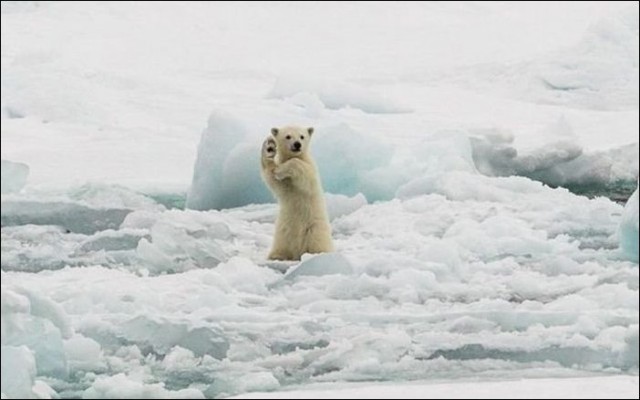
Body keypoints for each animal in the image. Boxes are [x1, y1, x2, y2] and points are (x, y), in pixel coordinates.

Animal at [260, 126, 336, 260]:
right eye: (288, 136)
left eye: (302, 136)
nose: (297, 144)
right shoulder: (285, 183)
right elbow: (273, 179)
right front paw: (269, 147)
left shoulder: (310, 169)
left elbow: (303, 172)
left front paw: (281, 170)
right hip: (283, 231)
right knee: (282, 244)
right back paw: (276, 255)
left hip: (314, 229)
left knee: (317, 242)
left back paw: (316, 254)